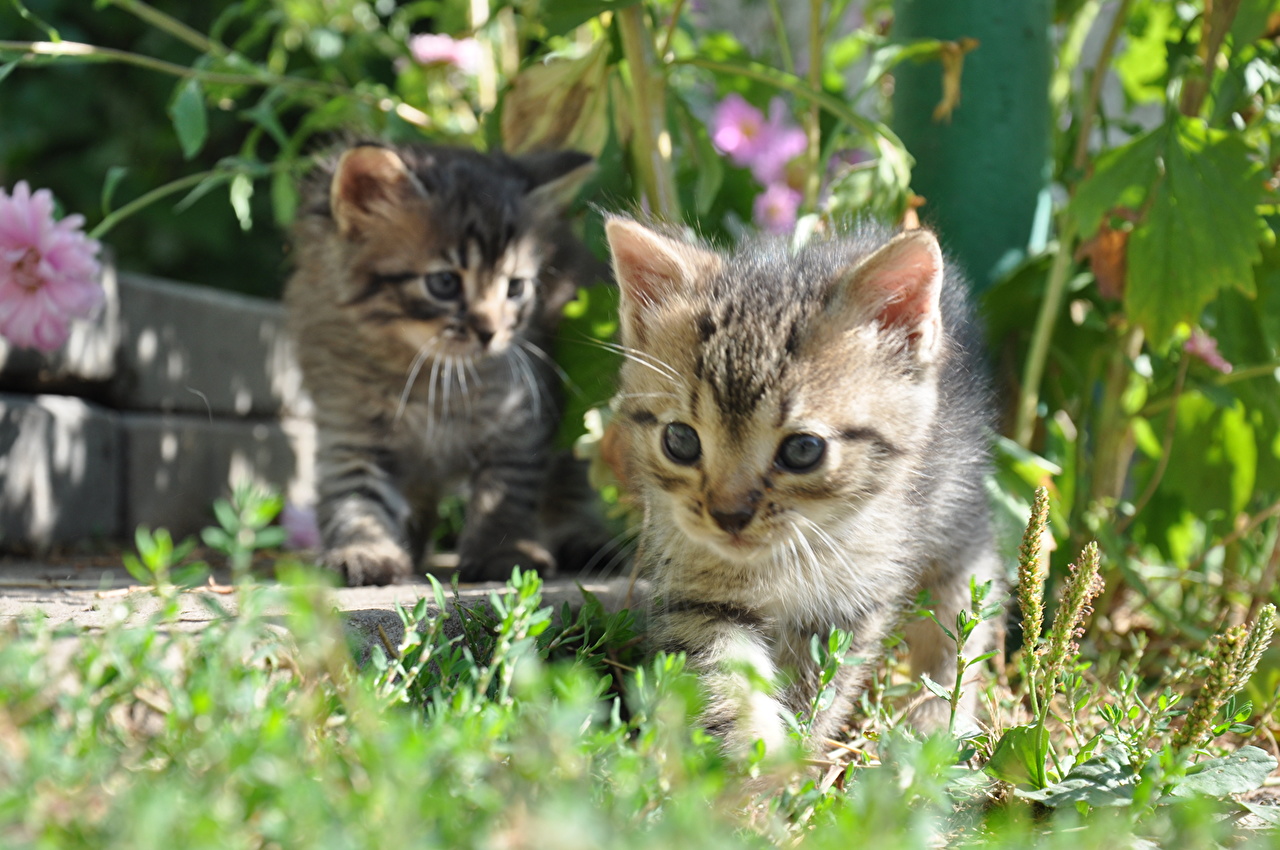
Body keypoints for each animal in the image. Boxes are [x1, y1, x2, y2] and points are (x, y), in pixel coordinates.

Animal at [284, 142, 608, 586]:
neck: (423, 372)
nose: (490, 332)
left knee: (568, 481)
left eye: (515, 288)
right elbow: (353, 492)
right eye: (444, 283)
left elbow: (505, 490)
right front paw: (363, 548)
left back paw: (580, 537)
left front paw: (504, 552)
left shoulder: (518, 418)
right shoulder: (349, 424)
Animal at [604, 216, 1000, 756]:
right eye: (680, 441)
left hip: (958, 513)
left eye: (803, 450)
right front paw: (749, 759)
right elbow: (724, 677)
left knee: (961, 610)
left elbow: (817, 688)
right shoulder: (697, 591)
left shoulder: (852, 599)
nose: (728, 515)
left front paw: (793, 757)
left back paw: (938, 723)